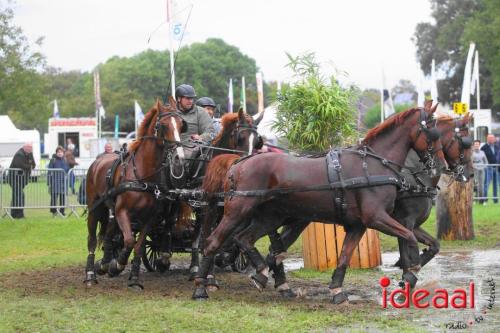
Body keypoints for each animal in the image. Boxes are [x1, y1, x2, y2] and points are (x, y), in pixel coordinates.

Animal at [84, 97, 188, 286]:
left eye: (180, 124)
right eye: (163, 126)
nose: (179, 157)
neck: (142, 174)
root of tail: (98, 160)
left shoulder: (149, 218)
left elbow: (138, 246)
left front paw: (133, 277)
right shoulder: (122, 212)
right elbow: (129, 241)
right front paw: (117, 265)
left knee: (109, 233)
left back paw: (104, 264)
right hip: (95, 208)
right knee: (93, 240)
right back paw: (90, 274)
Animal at [193, 104, 448, 300]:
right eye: (432, 134)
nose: (440, 166)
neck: (374, 165)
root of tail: (239, 163)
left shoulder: (358, 225)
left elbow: (345, 256)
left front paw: (337, 289)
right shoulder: (376, 218)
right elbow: (409, 237)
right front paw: (411, 271)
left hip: (269, 217)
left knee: (244, 239)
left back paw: (262, 274)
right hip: (237, 211)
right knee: (213, 242)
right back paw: (202, 287)